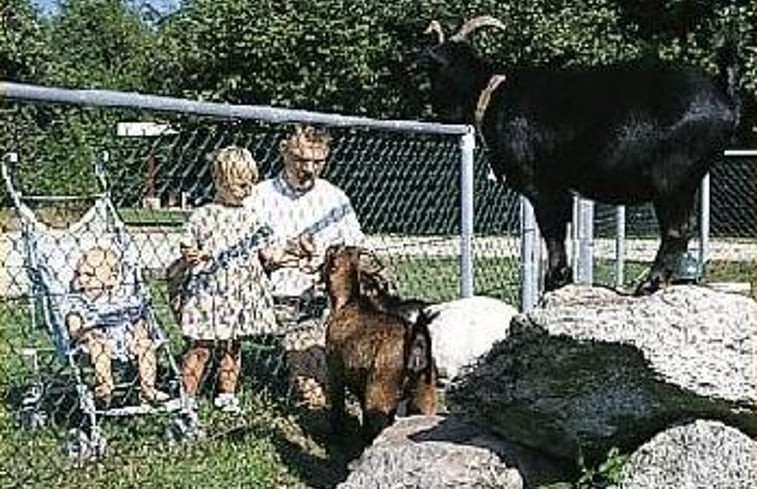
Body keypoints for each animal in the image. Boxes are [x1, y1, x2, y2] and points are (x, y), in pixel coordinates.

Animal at [320, 244, 438, 442]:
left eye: (330, 258)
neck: (348, 302)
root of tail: (416, 342)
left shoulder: (335, 372)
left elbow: (338, 410)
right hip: (425, 394)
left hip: (379, 393)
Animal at [426, 17, 740, 294]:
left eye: (432, 69)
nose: (438, 109)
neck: (490, 94)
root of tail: (722, 91)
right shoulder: (561, 190)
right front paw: (562, 278)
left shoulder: (541, 185)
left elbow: (551, 230)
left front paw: (554, 280)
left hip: (671, 178)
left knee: (677, 230)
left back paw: (649, 284)